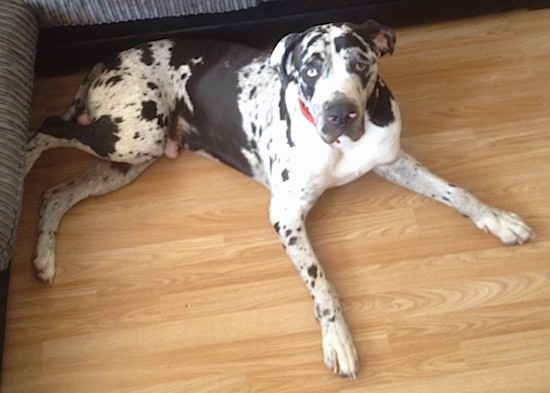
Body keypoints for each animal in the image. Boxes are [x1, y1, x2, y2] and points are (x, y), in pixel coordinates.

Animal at [24, 20, 536, 376]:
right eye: (310, 69)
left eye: (360, 64)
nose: (339, 112)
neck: (340, 144)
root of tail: (105, 59)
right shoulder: (286, 215)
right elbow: (322, 283)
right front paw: (338, 340)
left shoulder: (392, 160)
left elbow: (457, 191)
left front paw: (497, 218)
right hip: (132, 135)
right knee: (45, 127)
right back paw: (25, 160)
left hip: (127, 159)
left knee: (56, 192)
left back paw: (44, 257)